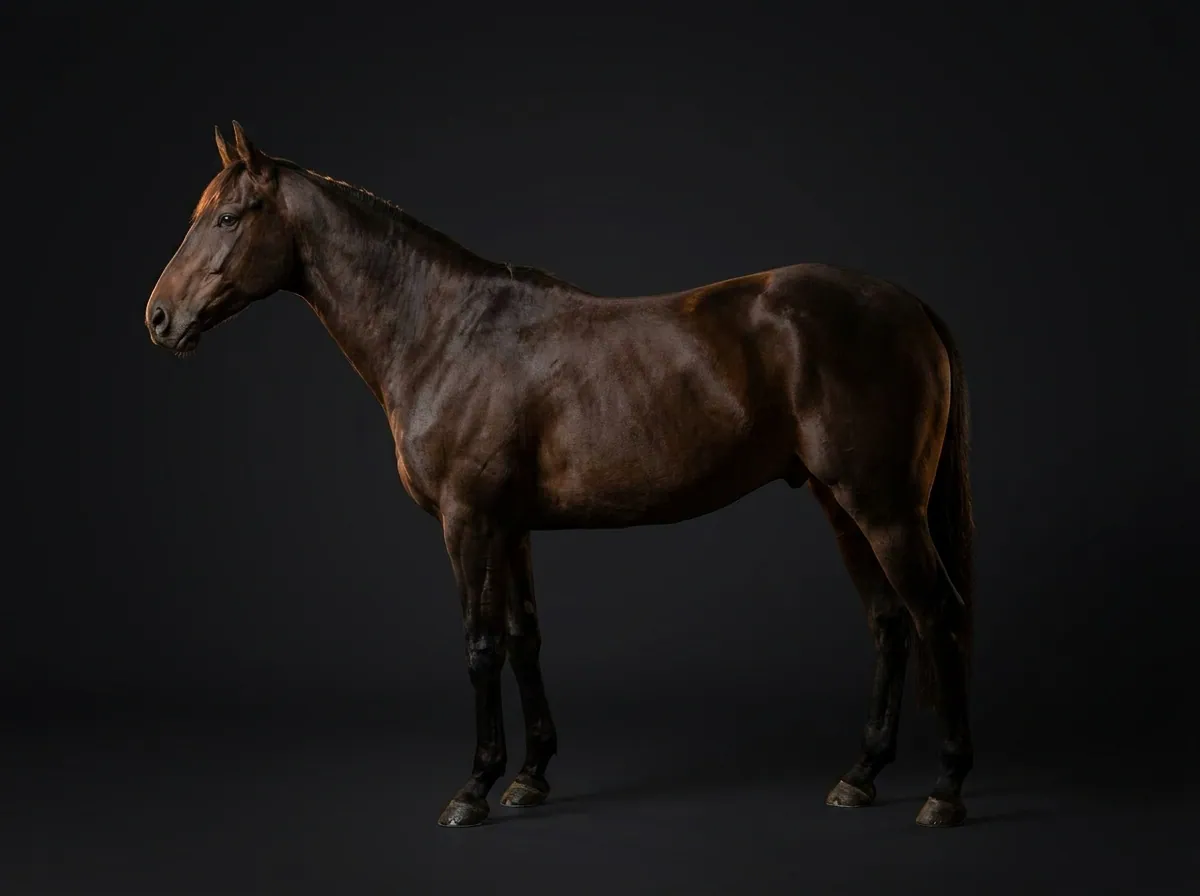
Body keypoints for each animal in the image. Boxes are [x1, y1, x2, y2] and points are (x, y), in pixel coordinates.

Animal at [145, 122, 975, 829]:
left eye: (230, 217)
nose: (158, 318)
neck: (444, 331)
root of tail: (909, 304)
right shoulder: (511, 526)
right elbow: (524, 638)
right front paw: (530, 776)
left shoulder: (469, 521)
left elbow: (480, 645)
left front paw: (474, 788)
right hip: (842, 504)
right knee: (889, 621)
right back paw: (860, 776)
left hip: (884, 506)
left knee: (934, 613)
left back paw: (945, 790)